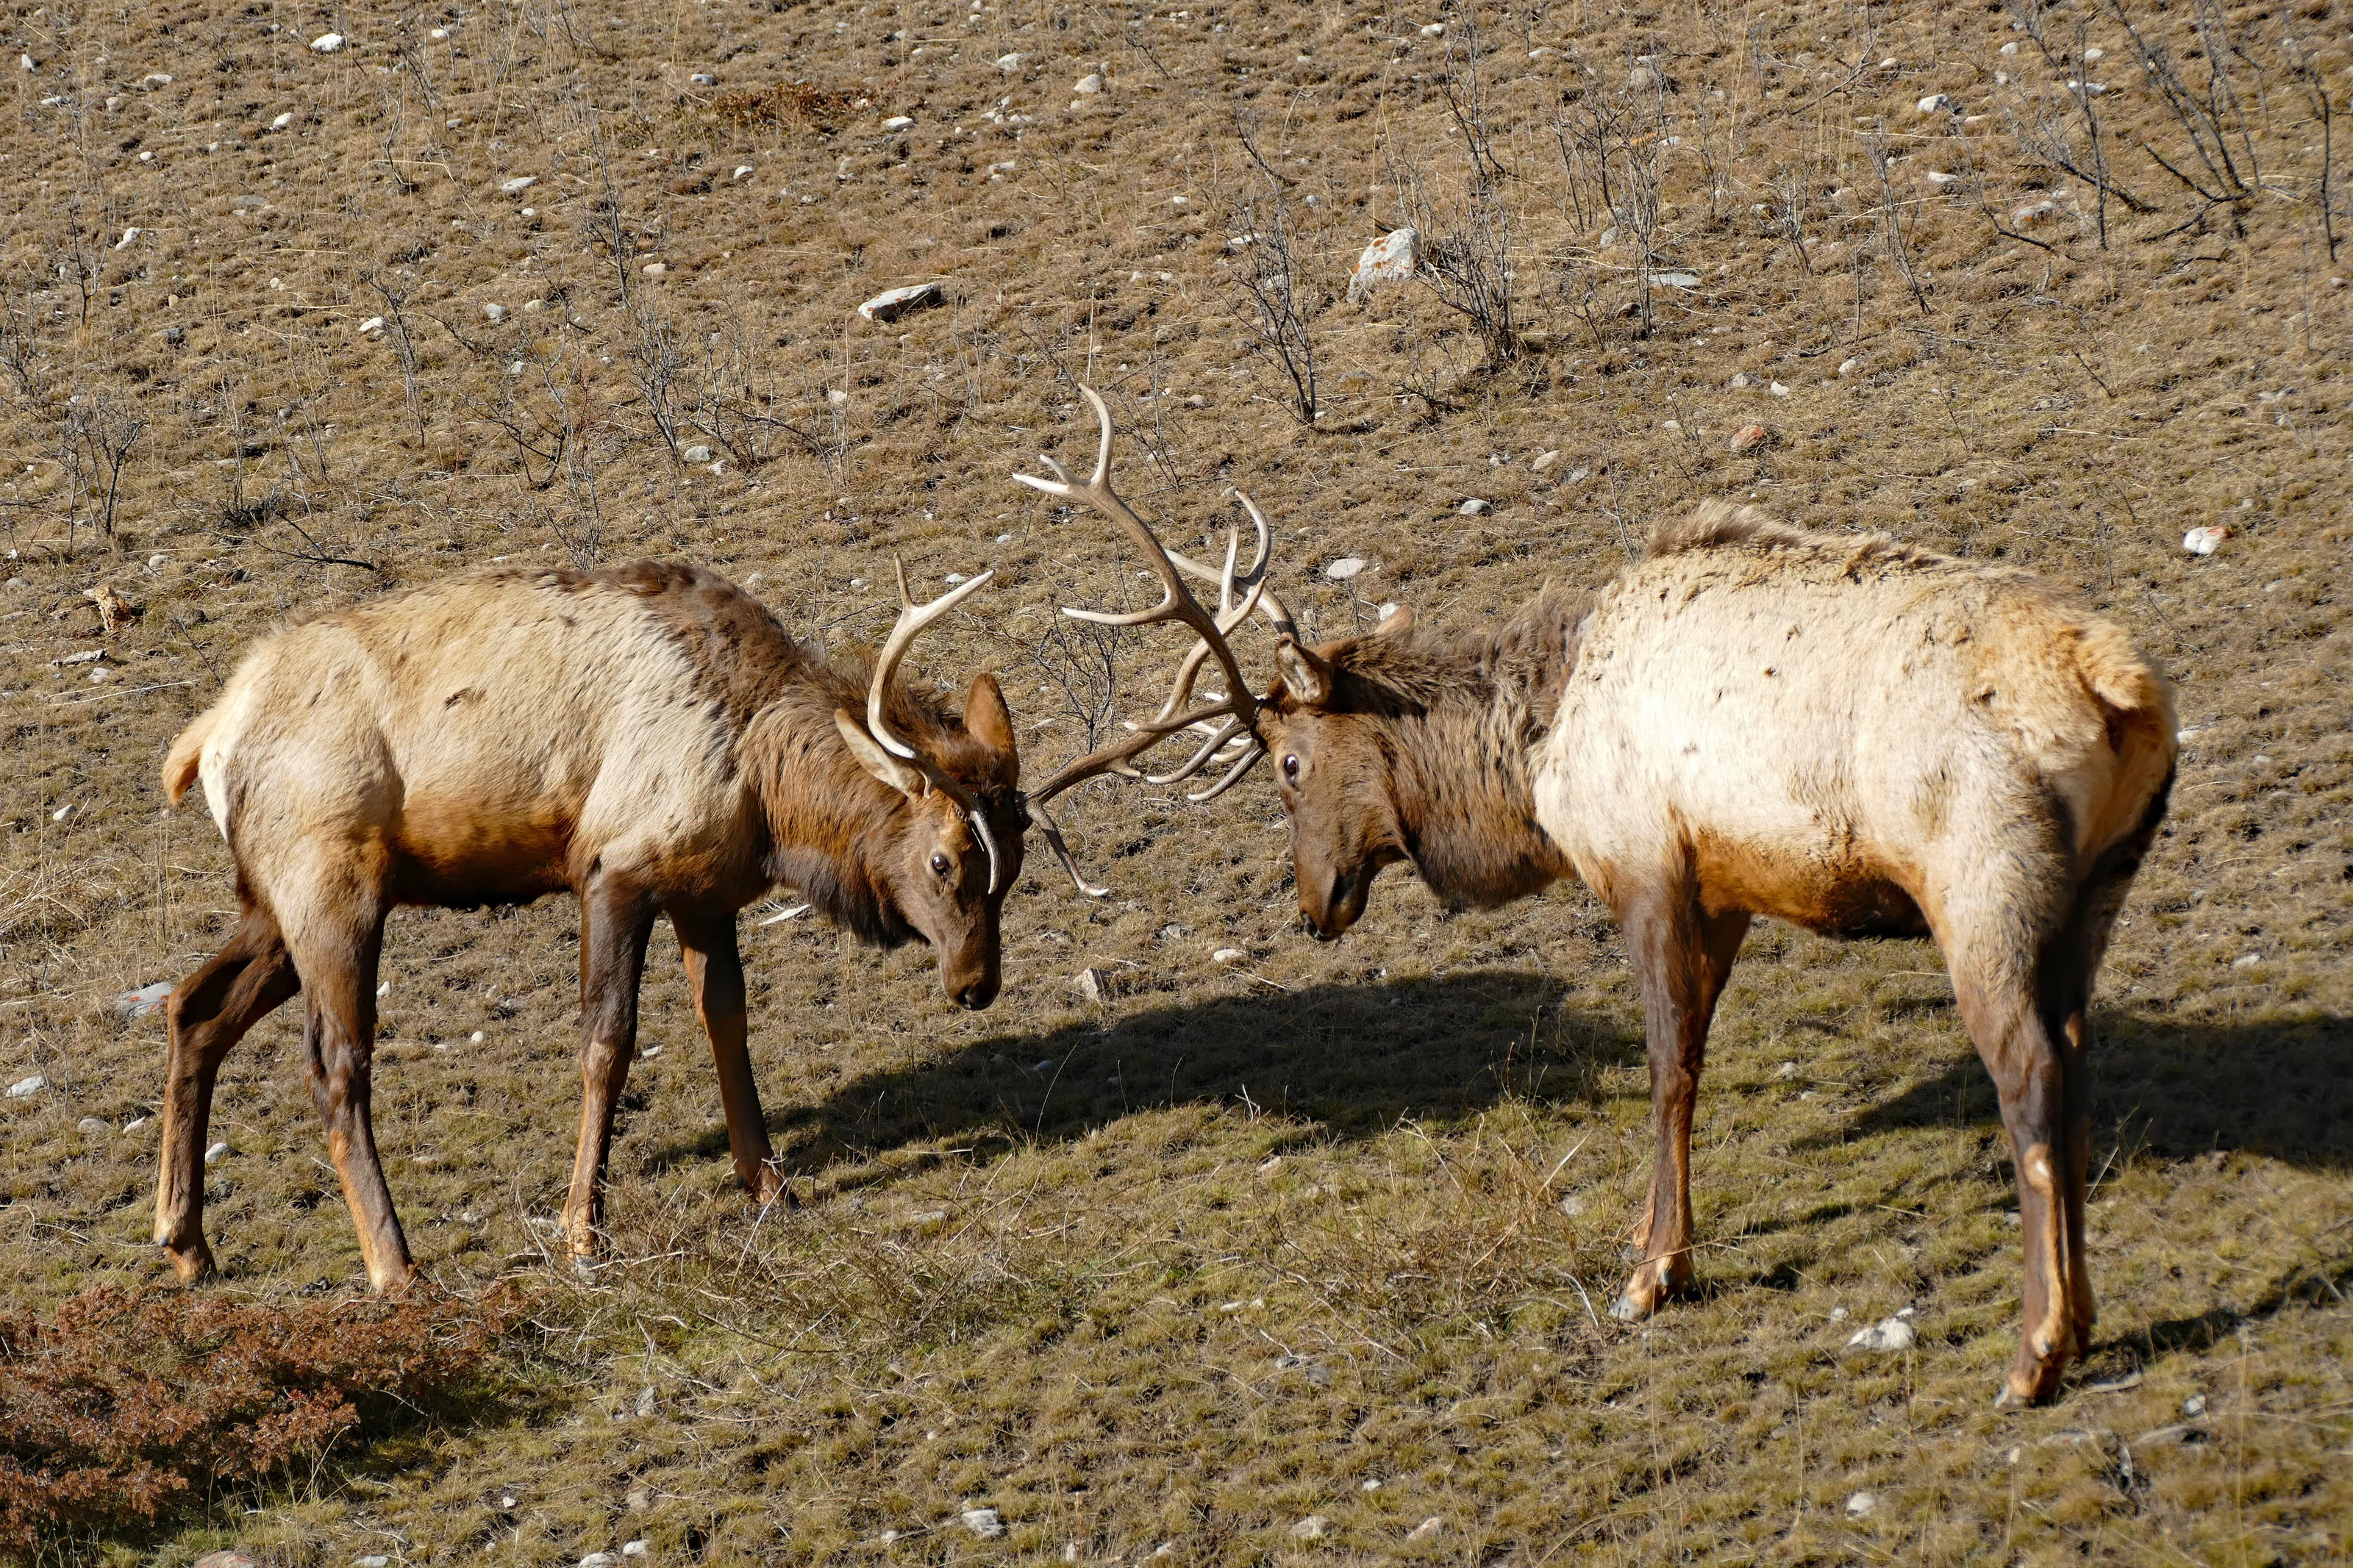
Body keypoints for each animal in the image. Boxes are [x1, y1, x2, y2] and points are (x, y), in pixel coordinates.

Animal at [154, 558, 1026, 1292]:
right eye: (944, 860)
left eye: (1014, 866)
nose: (976, 983)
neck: (767, 794)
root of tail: (205, 741)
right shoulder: (615, 869)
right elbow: (607, 1045)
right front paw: (583, 1234)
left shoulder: (704, 893)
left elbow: (728, 1024)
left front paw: (770, 1185)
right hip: (331, 888)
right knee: (336, 1067)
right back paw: (394, 1267)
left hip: (274, 906)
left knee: (194, 1006)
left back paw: (187, 1242)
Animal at [1016, 389, 2177, 1407]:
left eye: (1291, 763)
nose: (1315, 904)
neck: (1535, 760)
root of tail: (2120, 690)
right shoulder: (1725, 887)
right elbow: (1693, 1052)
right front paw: (1647, 1238)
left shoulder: (1644, 862)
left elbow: (1670, 1069)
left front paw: (1652, 1273)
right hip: (2096, 890)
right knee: (2076, 1063)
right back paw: (2077, 1323)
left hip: (1982, 882)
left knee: (2029, 1076)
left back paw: (2034, 1353)